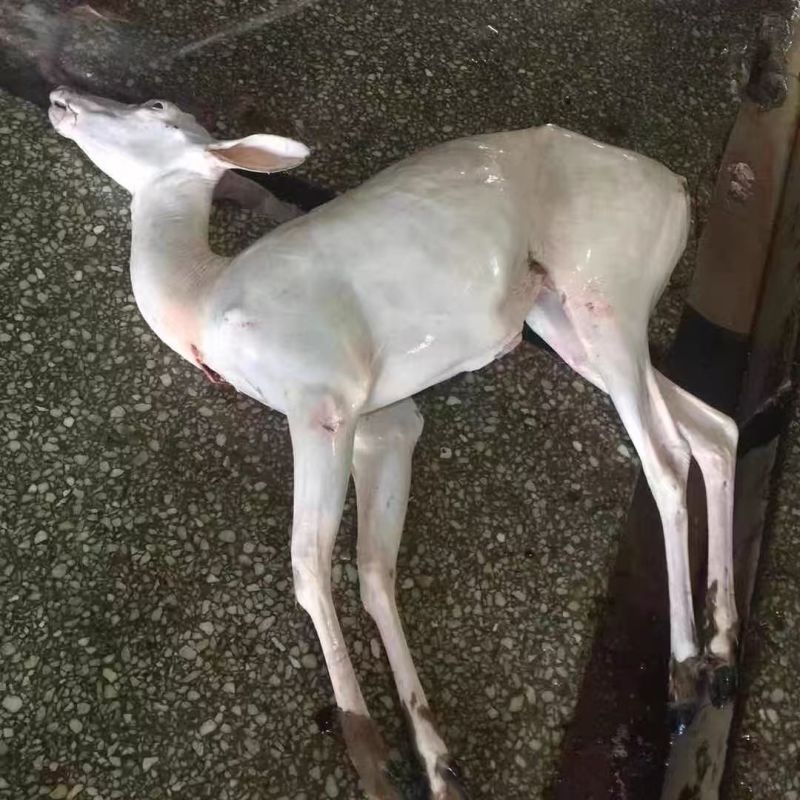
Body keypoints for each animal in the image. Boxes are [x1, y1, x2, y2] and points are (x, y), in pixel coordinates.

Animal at [48, 86, 739, 800]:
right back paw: (722, 653)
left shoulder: (323, 399)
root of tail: (678, 192)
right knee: (715, 428)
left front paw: (368, 754)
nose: (61, 97)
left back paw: (685, 674)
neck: (204, 306)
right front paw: (437, 764)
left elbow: (309, 565)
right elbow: (375, 571)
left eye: (154, 105)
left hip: (605, 291)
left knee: (665, 456)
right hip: (562, 319)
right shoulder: (385, 422)